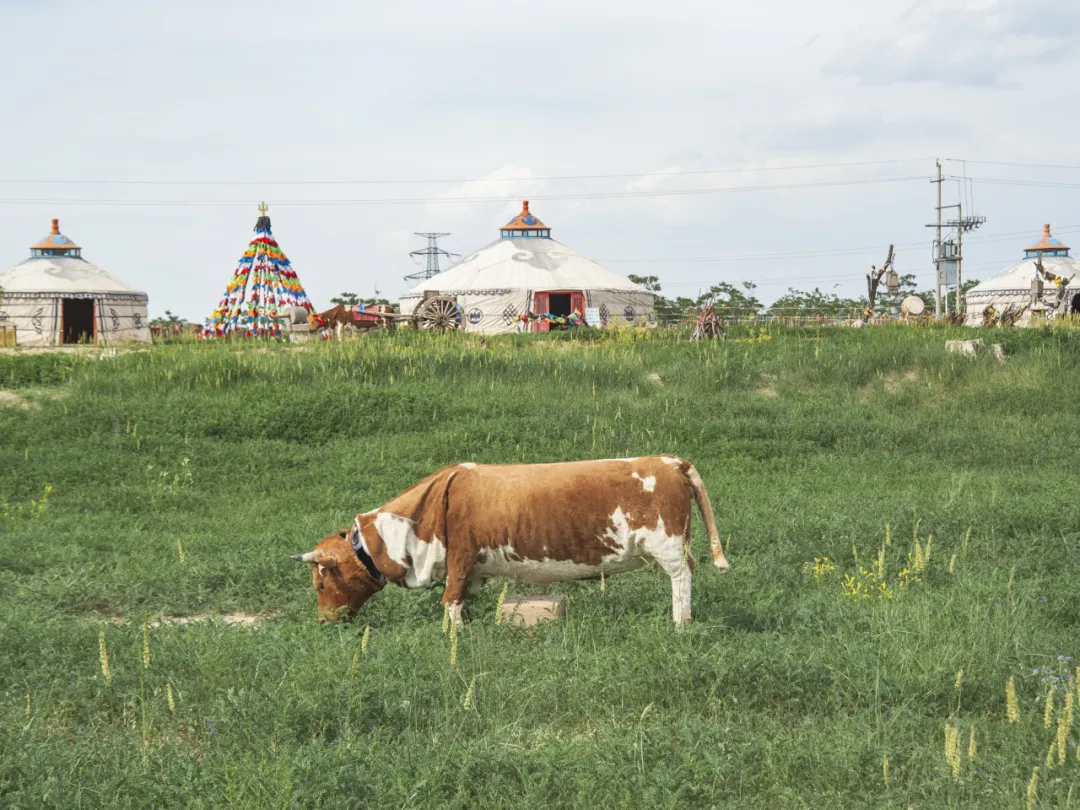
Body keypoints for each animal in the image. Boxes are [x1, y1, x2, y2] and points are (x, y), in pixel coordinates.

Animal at [291, 457, 730, 626]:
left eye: (320, 584)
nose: (324, 621)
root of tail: (669, 461)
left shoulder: (460, 557)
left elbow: (449, 599)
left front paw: (453, 637)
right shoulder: (469, 568)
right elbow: (463, 599)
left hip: (668, 544)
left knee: (682, 576)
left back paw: (680, 623)